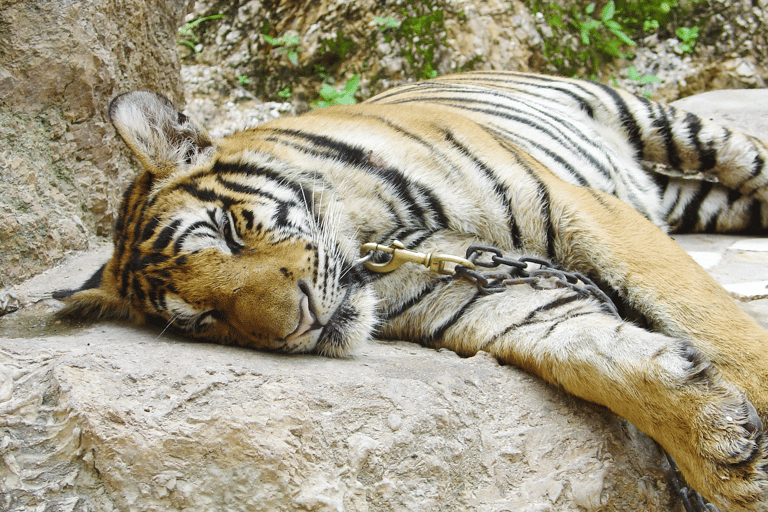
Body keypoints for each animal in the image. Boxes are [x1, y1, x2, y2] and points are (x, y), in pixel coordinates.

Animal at [54, 71, 768, 510]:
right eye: (203, 318)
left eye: (229, 233)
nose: (299, 324)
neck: (382, 246)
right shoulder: (482, 294)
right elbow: (594, 355)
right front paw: (727, 454)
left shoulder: (585, 212)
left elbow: (717, 324)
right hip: (693, 200)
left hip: (667, 125)